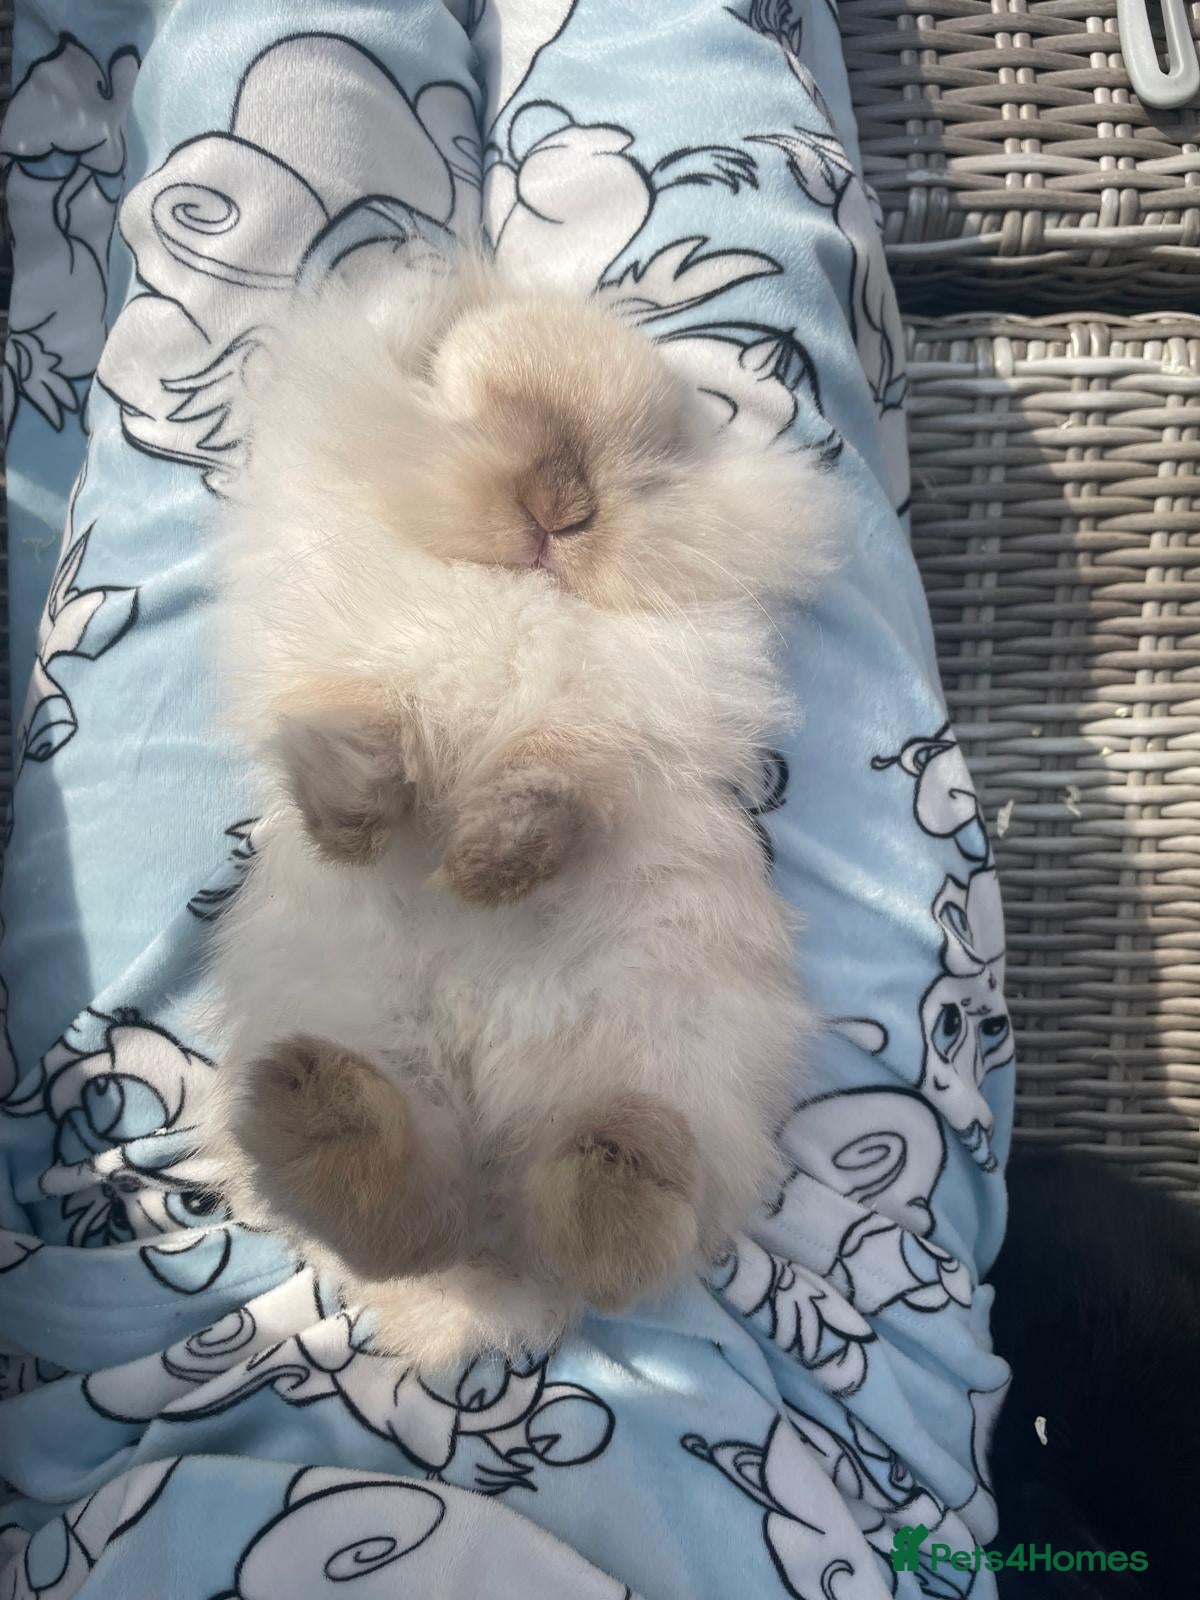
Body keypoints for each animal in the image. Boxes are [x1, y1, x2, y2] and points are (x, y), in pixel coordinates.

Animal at [204, 255, 837, 1368]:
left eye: (648, 464)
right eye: (480, 408)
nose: (563, 508)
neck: (520, 592)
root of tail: (493, 1281)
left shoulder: (608, 737)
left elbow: (555, 790)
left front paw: (485, 866)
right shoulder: (340, 665)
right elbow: (357, 733)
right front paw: (360, 825)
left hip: (675, 1056)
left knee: (601, 1244)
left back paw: (618, 1165)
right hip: (356, 1021)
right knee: (405, 1229)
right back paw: (325, 1118)